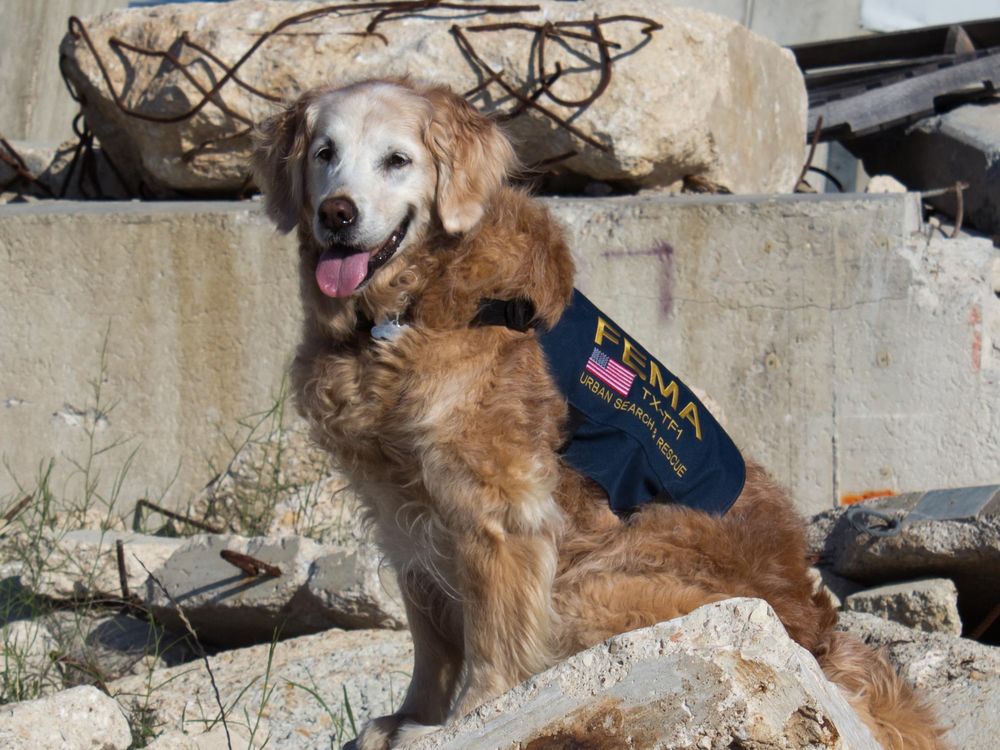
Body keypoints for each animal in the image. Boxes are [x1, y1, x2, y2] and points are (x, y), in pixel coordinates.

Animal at [250, 79, 944, 748]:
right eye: (324, 154)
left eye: (397, 160)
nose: (337, 213)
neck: (409, 309)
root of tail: (820, 639)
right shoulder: (402, 511)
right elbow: (431, 641)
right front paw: (406, 717)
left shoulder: (500, 510)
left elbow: (492, 636)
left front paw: (464, 720)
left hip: (589, 587)